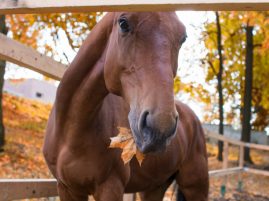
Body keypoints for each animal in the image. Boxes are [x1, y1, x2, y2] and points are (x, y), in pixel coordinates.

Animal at [43, 11, 208, 200]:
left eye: (183, 37)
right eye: (123, 23)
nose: (161, 126)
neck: (71, 131)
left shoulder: (110, 187)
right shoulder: (67, 188)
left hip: (195, 188)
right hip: (154, 187)